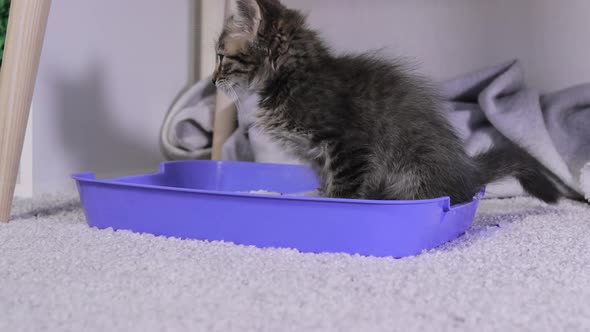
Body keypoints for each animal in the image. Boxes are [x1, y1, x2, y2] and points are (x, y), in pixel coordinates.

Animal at [213, 0, 568, 205]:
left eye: (220, 57)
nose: (214, 80)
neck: (292, 76)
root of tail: (467, 172)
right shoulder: (318, 155)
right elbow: (327, 179)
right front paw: (318, 194)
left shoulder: (349, 144)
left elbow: (344, 186)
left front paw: (335, 204)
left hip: (412, 170)